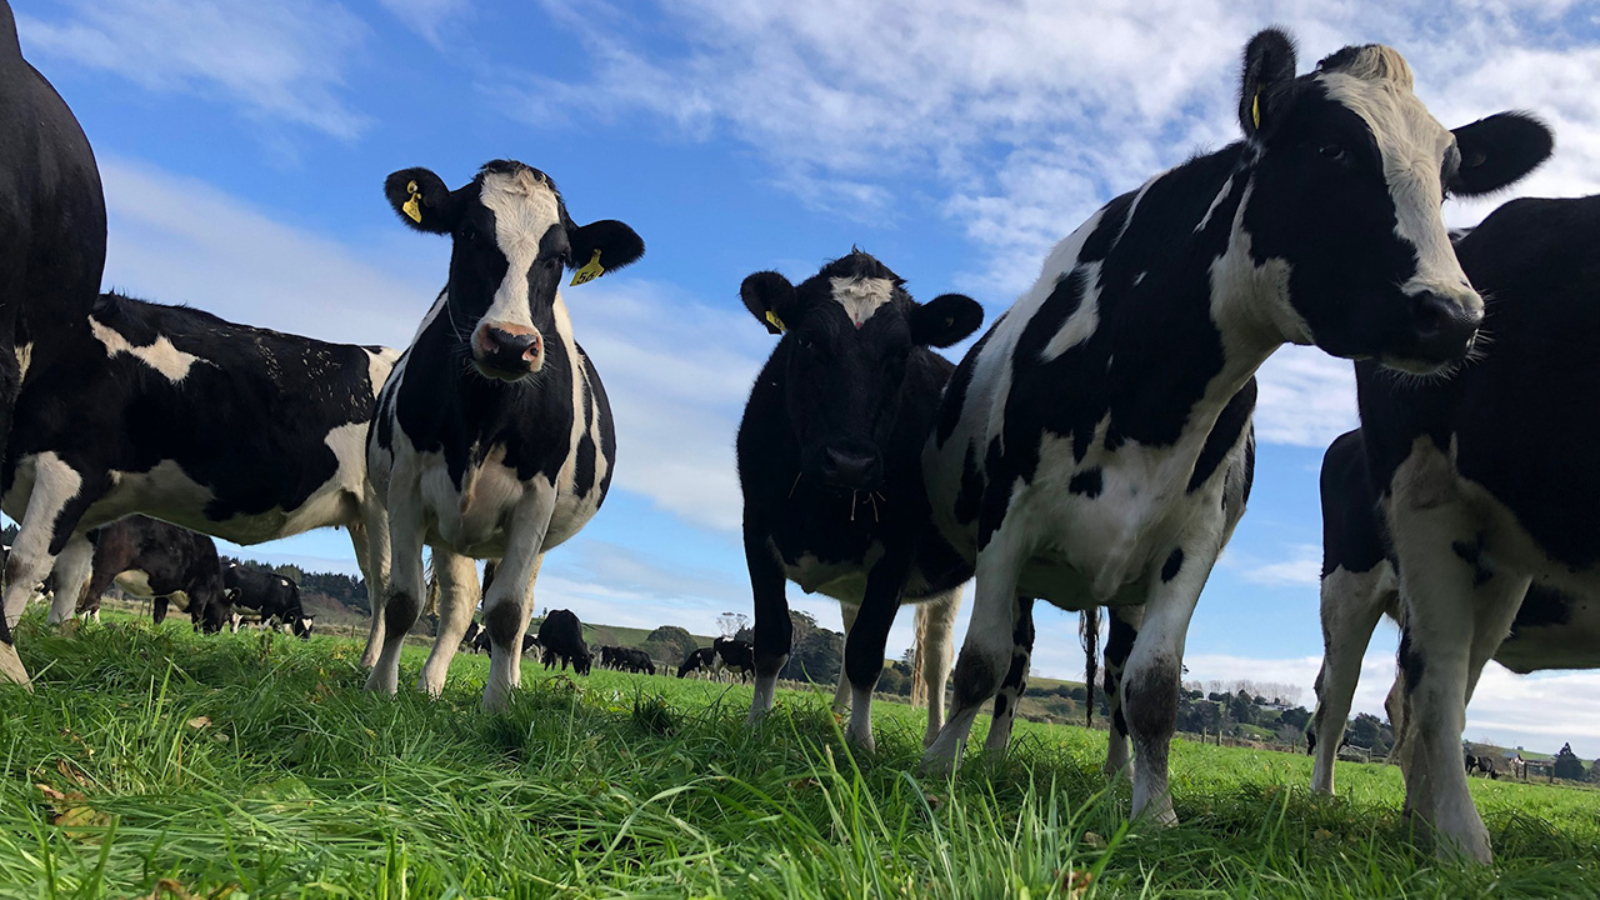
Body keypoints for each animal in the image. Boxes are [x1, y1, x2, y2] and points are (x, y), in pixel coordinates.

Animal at [76, 515, 236, 632]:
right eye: (227, 615)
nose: (214, 634)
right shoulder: (200, 593)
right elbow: (197, 618)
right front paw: (197, 636)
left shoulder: (164, 592)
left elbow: (159, 615)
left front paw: (155, 633)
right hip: (106, 568)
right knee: (91, 599)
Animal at [362, 160, 637, 711]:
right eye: (469, 233)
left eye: (559, 256)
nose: (511, 343)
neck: (483, 416)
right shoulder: (405, 487)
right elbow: (403, 600)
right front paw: (381, 689)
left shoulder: (536, 500)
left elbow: (508, 613)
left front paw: (497, 706)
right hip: (445, 526)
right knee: (458, 601)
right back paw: (429, 684)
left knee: (519, 604)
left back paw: (508, 682)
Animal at [737, 250, 981, 749]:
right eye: (808, 340)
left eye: (901, 353)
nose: (849, 462)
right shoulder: (755, 528)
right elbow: (772, 639)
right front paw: (756, 725)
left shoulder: (899, 548)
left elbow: (868, 651)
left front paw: (861, 744)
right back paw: (835, 714)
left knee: (938, 658)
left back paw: (934, 736)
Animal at [917, 29, 1552, 831]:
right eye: (1331, 150)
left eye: (1447, 181)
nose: (1455, 314)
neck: (1150, 395)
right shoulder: (1007, 519)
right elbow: (982, 662)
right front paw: (937, 768)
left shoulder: (1191, 543)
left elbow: (1154, 688)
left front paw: (1153, 814)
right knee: (1016, 661)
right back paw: (992, 756)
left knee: (1117, 674)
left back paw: (1111, 779)